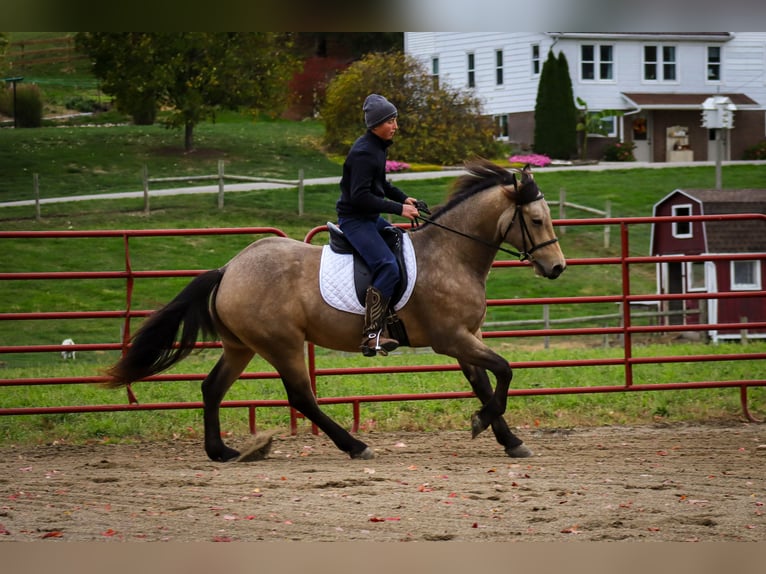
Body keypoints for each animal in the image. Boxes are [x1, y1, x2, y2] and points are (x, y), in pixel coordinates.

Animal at [105, 159, 566, 462]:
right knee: (301, 396)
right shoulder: (451, 338)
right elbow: (504, 370)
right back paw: (355, 446)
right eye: (537, 220)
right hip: (283, 344)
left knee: (212, 388)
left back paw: (220, 451)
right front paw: (481, 423)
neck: (452, 253)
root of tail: (228, 269)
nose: (557, 267)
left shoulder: (467, 338)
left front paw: (508, 439)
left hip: (241, 347)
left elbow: (486, 383)